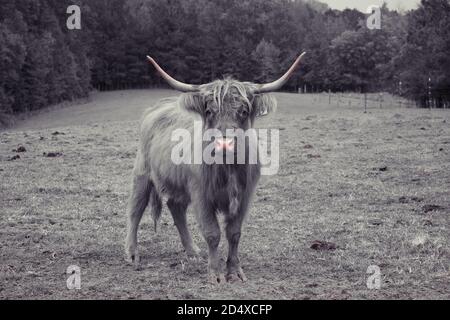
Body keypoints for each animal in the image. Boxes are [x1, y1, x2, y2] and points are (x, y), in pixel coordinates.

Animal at [125, 52, 304, 282]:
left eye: (243, 111)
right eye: (209, 111)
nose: (225, 144)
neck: (227, 168)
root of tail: (159, 106)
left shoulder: (245, 196)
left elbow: (234, 233)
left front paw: (234, 270)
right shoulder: (201, 194)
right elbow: (212, 233)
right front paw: (216, 273)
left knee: (176, 208)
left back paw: (192, 251)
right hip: (142, 173)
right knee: (135, 209)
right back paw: (132, 253)